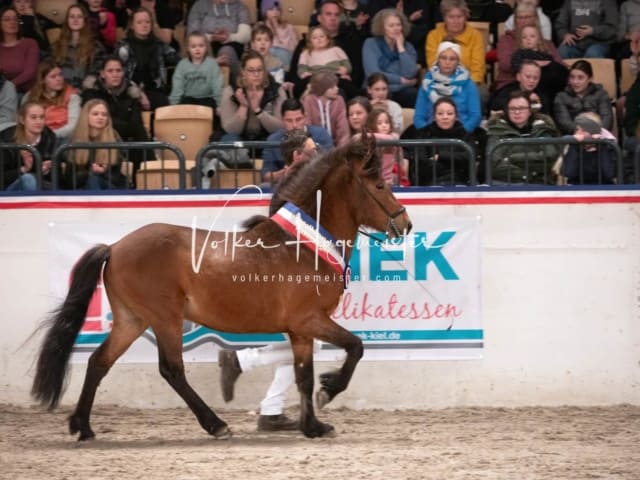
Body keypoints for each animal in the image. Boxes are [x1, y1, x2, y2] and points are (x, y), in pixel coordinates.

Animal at [31, 134, 410, 438]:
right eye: (379, 185)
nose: (404, 223)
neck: (303, 245)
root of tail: (114, 247)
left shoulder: (301, 330)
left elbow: (303, 374)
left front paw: (313, 426)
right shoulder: (309, 321)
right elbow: (355, 347)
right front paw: (329, 390)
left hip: (131, 319)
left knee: (99, 362)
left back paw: (83, 426)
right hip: (164, 319)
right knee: (171, 370)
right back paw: (215, 424)